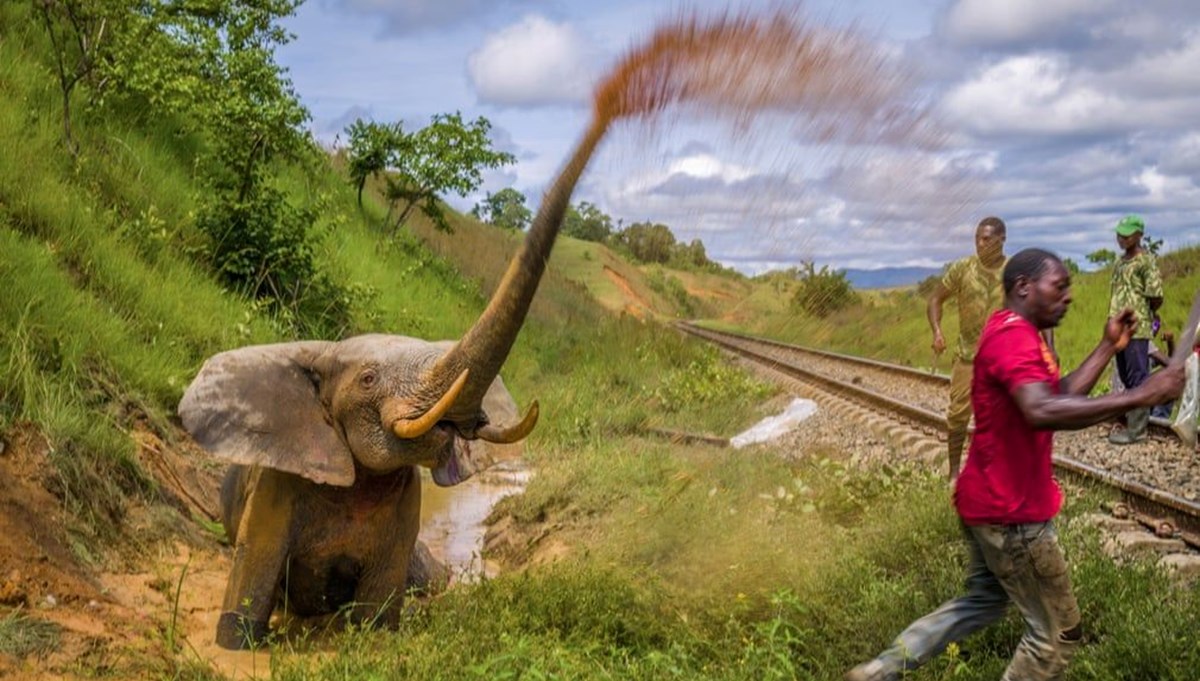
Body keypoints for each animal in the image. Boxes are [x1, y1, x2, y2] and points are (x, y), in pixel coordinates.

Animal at [180, 115, 609, 647]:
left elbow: (379, 616)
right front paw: (236, 646)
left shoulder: (406, 502)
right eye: (367, 378)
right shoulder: (276, 486)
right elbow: (249, 593)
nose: (608, 109)